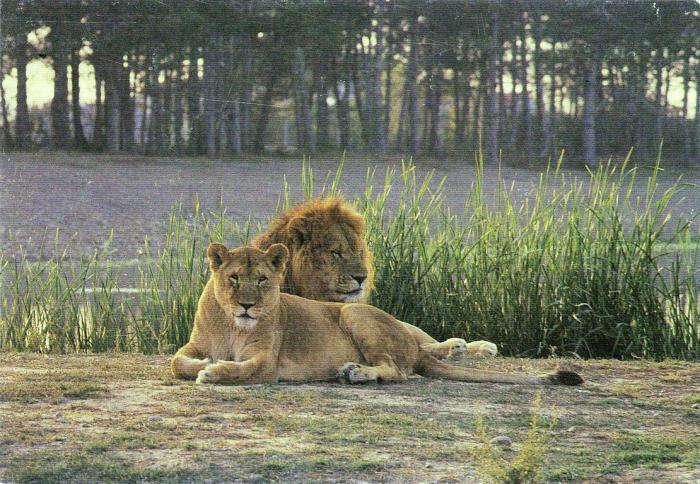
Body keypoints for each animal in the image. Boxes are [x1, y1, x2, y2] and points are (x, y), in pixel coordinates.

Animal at [171, 243, 583, 388]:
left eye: (261, 280)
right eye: (234, 279)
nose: (247, 305)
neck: (232, 326)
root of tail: (412, 345)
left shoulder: (266, 362)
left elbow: (243, 368)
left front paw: (213, 371)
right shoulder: (193, 344)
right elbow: (176, 361)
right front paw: (204, 363)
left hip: (355, 311)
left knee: (398, 372)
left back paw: (356, 373)